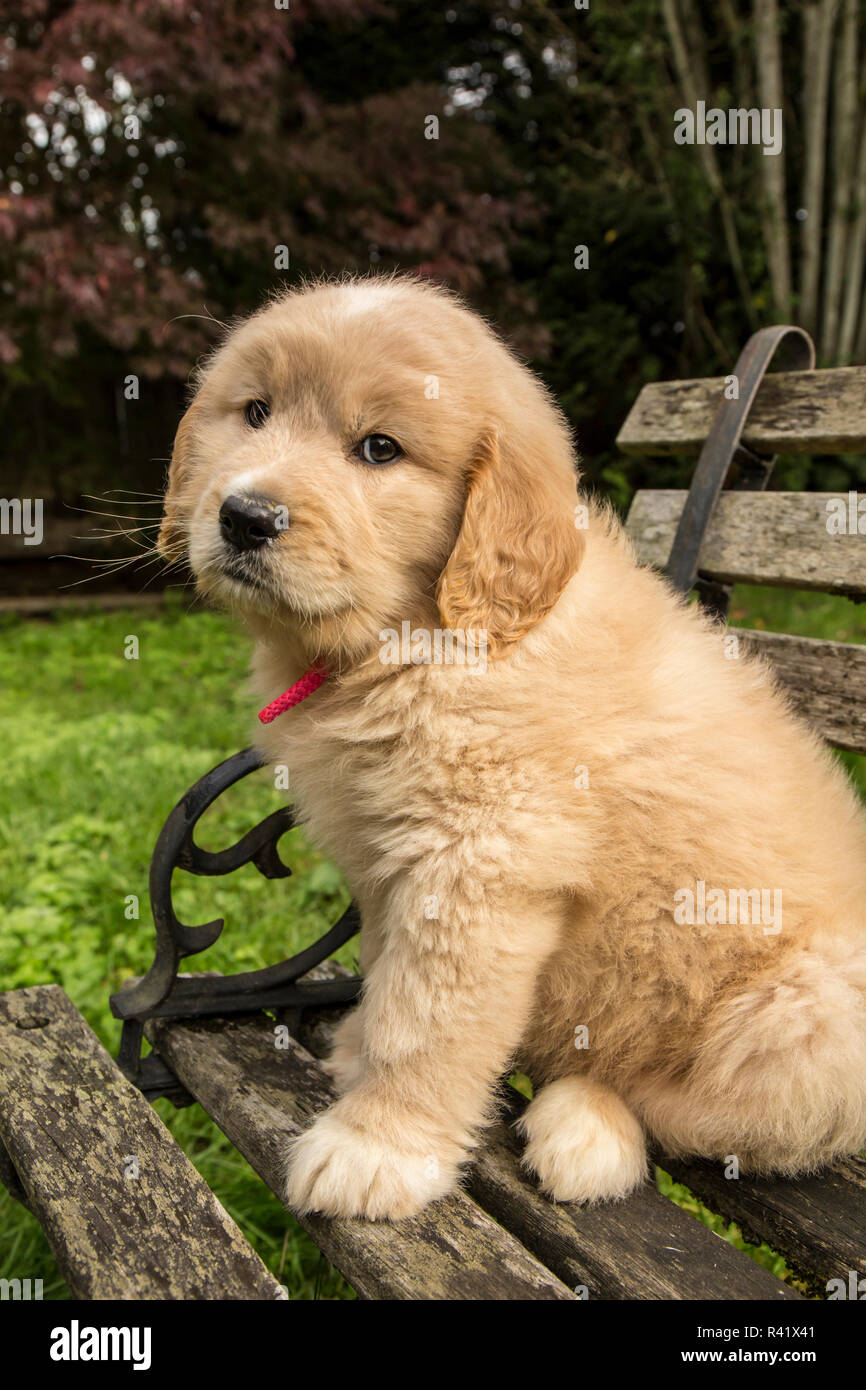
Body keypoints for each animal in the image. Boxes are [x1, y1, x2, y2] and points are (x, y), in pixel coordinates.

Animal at [161, 271, 866, 1217]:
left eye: (379, 449)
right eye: (254, 412)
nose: (244, 516)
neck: (418, 641)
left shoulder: (483, 863)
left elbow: (427, 1022)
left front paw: (378, 1145)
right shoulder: (389, 865)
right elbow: (384, 971)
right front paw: (356, 1049)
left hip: (813, 1012)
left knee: (681, 1102)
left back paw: (585, 1124)